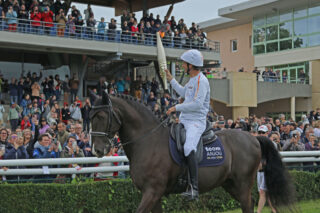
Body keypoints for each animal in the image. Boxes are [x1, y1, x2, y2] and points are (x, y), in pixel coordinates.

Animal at [90, 92, 296, 213]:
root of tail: (253, 138)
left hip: (243, 183)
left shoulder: (152, 191)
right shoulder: (154, 195)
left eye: (102, 116)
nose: (97, 150)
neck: (147, 141)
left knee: (247, 205)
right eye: (90, 117)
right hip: (230, 184)